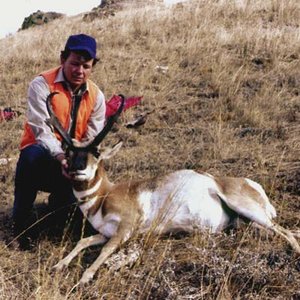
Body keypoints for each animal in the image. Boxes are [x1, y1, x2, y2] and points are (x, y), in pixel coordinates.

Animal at [44, 92, 300, 284]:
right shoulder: (105, 232)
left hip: (248, 209)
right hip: (249, 223)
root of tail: (247, 182)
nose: (77, 169)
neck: (104, 196)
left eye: (96, 153)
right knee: (284, 230)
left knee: (285, 232)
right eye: (69, 152)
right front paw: (58, 265)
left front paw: (84, 277)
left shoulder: (125, 229)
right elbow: (83, 242)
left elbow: (105, 250)